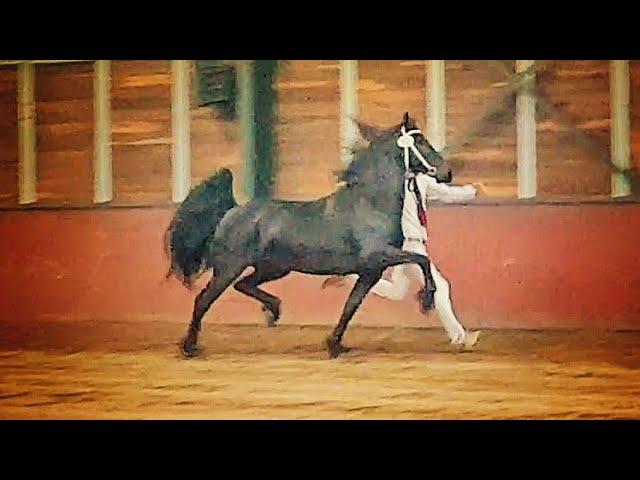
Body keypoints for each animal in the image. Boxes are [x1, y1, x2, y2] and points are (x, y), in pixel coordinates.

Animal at [168, 113, 452, 356]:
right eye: (420, 142)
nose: (447, 173)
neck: (370, 205)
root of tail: (231, 211)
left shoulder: (371, 271)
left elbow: (351, 305)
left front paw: (334, 344)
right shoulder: (378, 256)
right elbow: (421, 259)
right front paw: (426, 300)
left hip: (273, 268)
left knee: (244, 285)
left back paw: (273, 310)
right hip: (229, 268)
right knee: (203, 300)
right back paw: (190, 347)